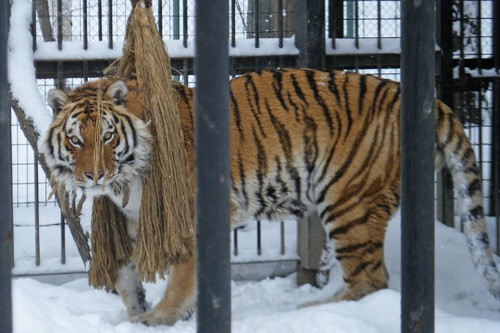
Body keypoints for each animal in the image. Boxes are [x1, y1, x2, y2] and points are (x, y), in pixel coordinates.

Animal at [43, 67, 500, 324]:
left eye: (107, 136)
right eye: (76, 139)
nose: (94, 174)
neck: (127, 175)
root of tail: (432, 102)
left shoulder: (190, 218)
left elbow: (182, 276)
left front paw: (162, 316)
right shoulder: (139, 220)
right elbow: (124, 270)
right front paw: (138, 309)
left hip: (350, 202)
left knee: (371, 278)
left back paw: (310, 313)